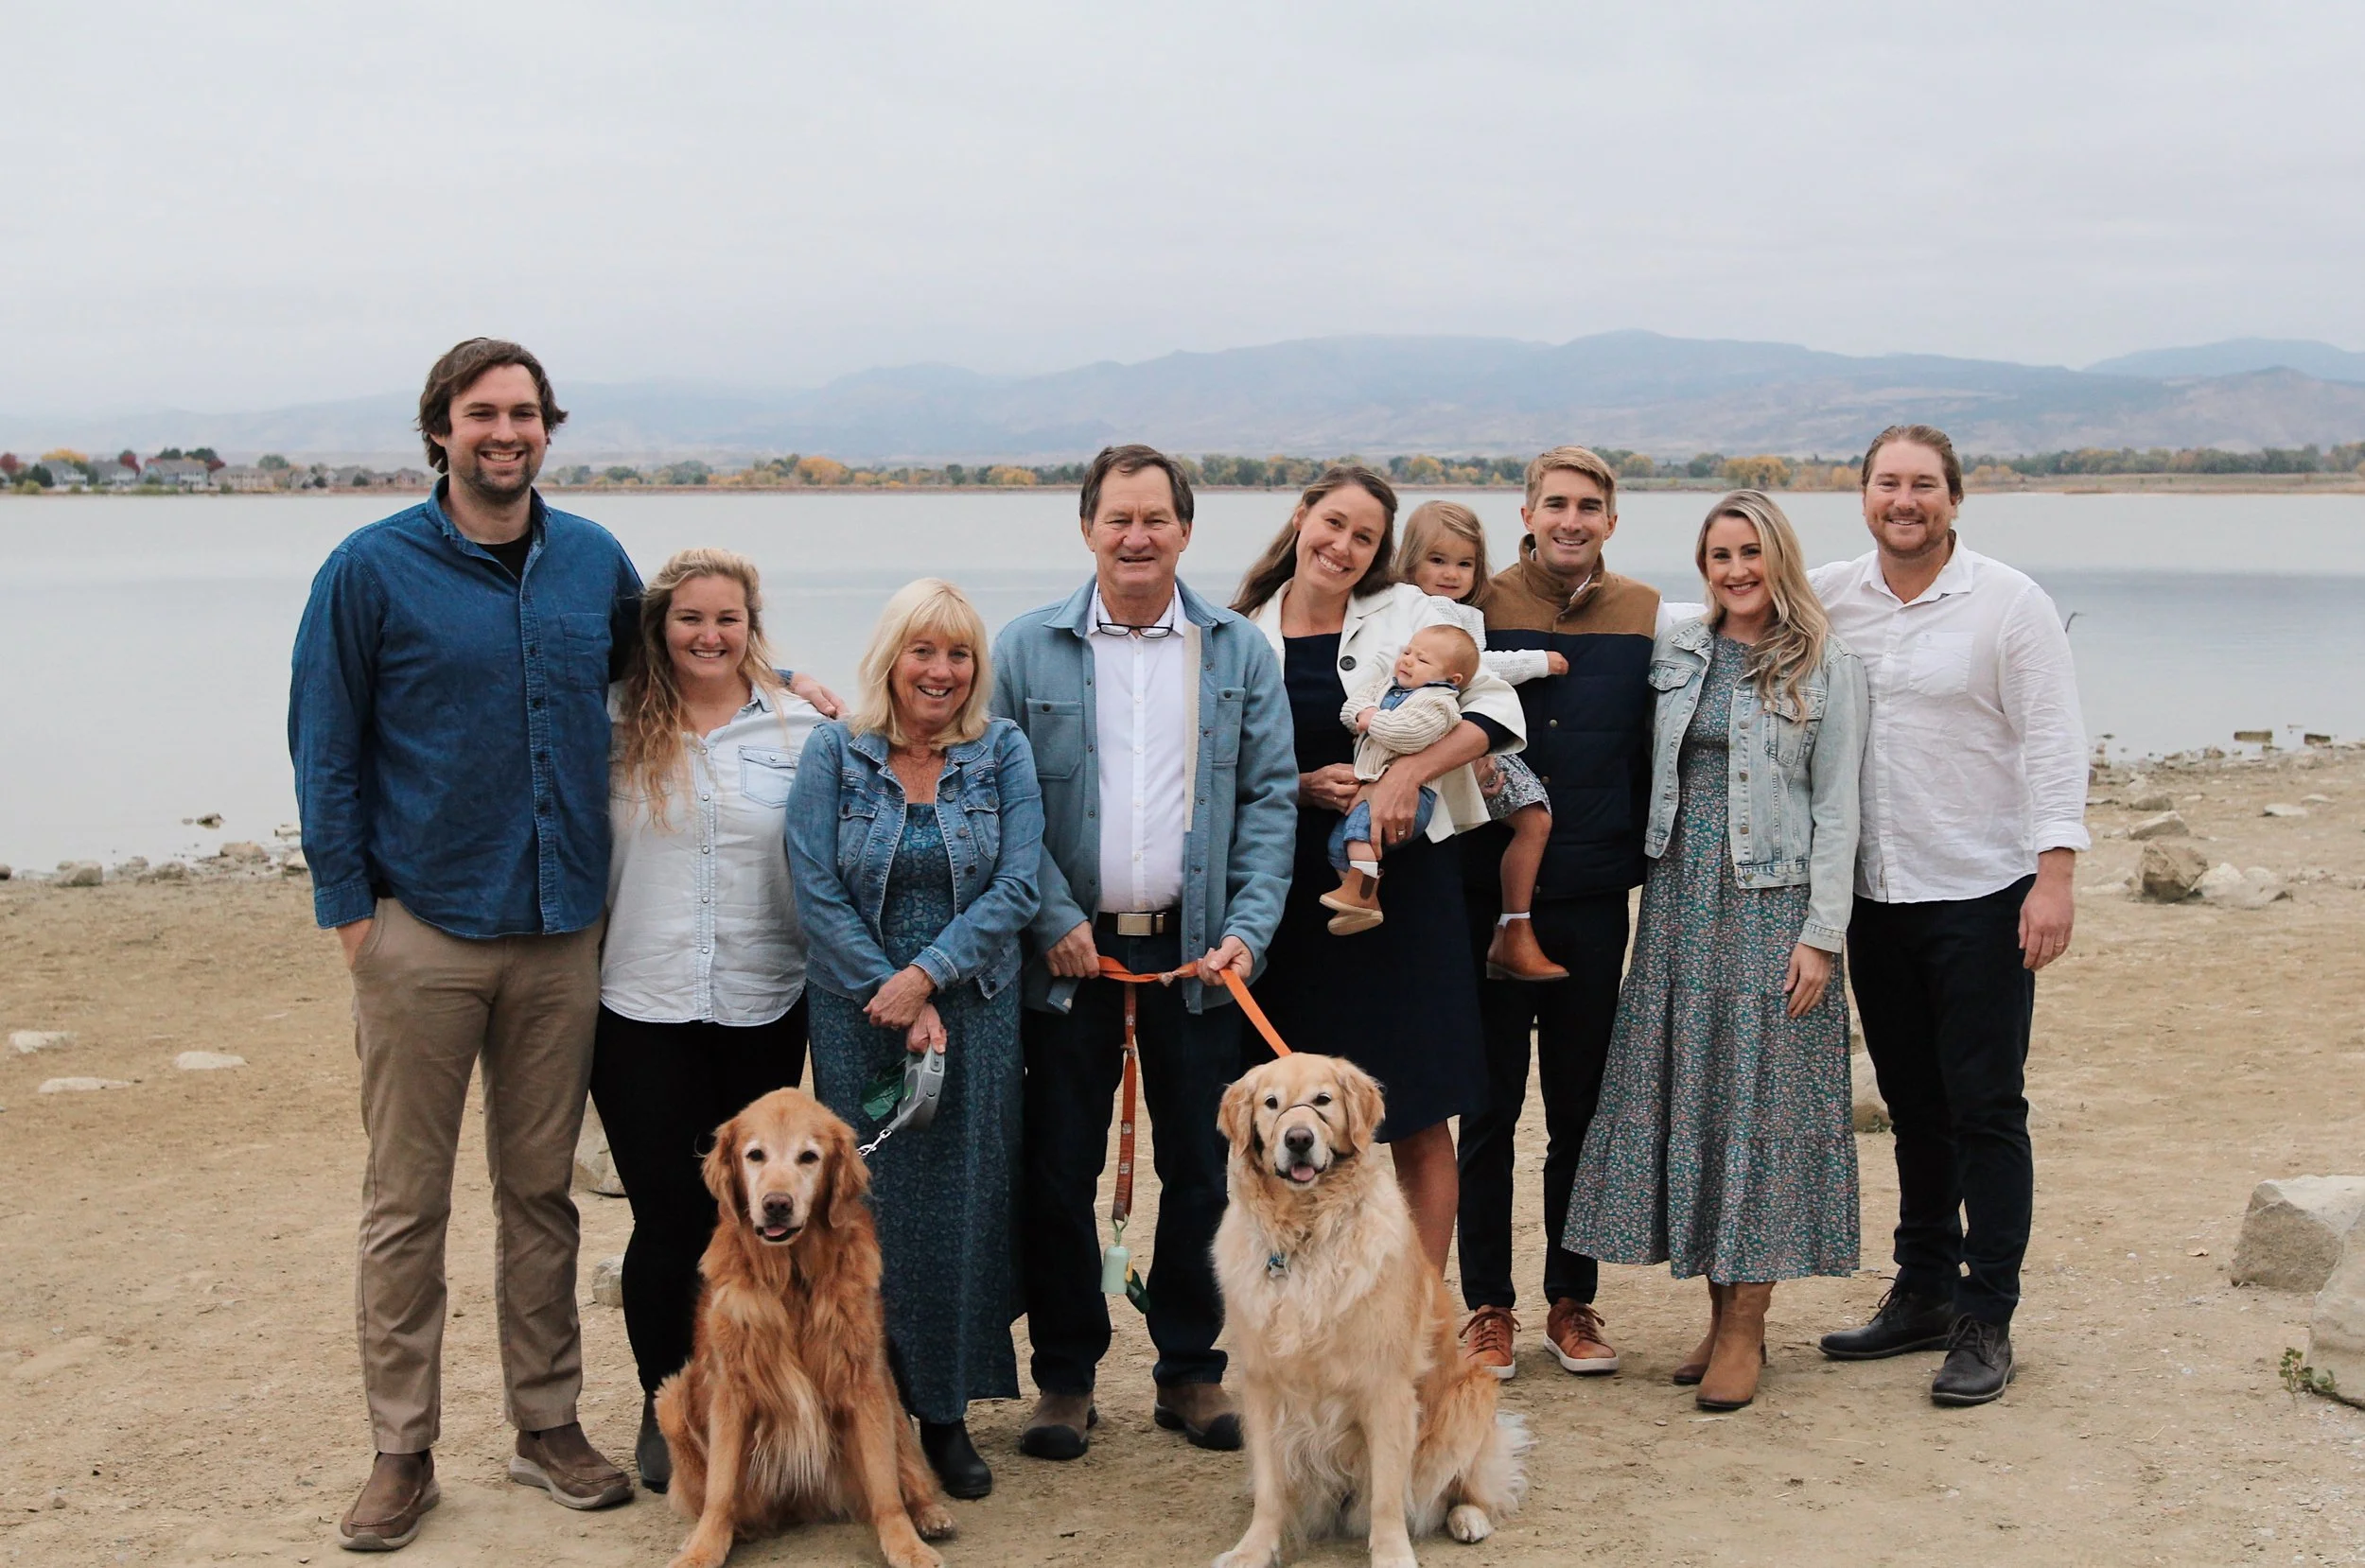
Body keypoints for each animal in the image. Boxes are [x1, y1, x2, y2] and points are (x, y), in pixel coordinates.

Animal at [655, 1088, 954, 1568]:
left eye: (809, 1157)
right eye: (755, 1155)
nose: (777, 1203)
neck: (792, 1276)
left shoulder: (864, 1378)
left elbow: (885, 1485)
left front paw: (906, 1544)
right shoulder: (732, 1388)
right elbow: (720, 1489)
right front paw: (702, 1549)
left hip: (891, 1397)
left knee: (907, 1467)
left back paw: (929, 1512)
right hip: (671, 1400)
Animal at [1212, 1054, 1526, 1568]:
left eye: (1323, 1100)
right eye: (1271, 1103)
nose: (1298, 1139)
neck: (1306, 1235)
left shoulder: (1386, 1386)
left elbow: (1386, 1493)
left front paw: (1393, 1553)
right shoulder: (1261, 1384)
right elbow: (1270, 1489)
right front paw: (1253, 1549)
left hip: (1470, 1397)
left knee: (1463, 1485)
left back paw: (1469, 1519)